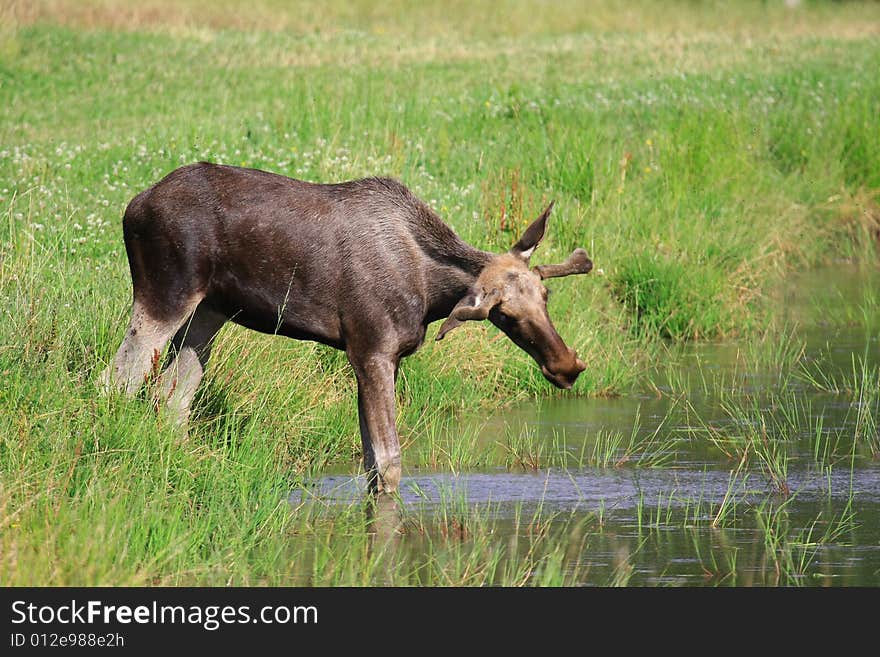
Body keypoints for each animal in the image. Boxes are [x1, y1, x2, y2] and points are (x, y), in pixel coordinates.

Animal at [103, 163, 596, 492]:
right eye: (503, 314)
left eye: (546, 295)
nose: (567, 365)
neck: (430, 292)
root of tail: (133, 207)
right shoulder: (371, 349)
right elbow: (390, 461)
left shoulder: (384, 357)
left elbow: (371, 464)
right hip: (165, 291)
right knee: (119, 379)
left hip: (209, 312)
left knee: (172, 398)